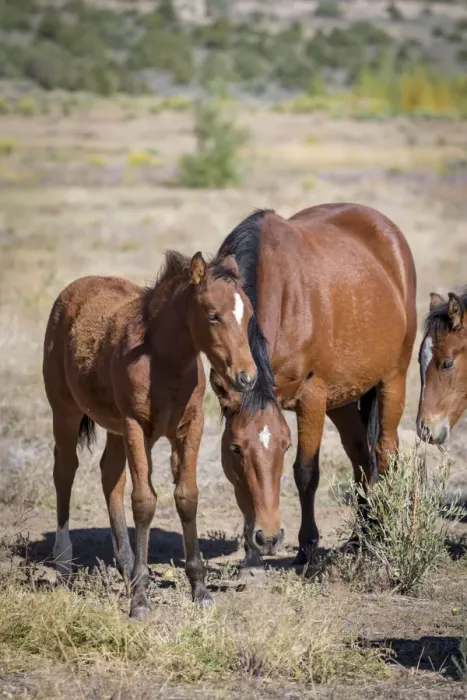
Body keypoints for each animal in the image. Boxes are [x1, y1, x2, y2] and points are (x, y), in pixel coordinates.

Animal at [43, 251, 257, 619]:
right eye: (212, 315)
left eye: (249, 314)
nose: (247, 376)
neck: (164, 361)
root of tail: (73, 289)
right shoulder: (135, 425)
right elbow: (144, 501)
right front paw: (141, 599)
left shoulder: (191, 426)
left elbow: (187, 497)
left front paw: (200, 589)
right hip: (65, 411)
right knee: (65, 471)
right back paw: (65, 561)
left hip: (114, 426)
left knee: (110, 475)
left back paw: (126, 565)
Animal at [210, 204, 417, 566]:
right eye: (235, 448)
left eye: (285, 445)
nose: (268, 538)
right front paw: (250, 556)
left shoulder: (311, 397)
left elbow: (306, 472)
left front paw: (306, 547)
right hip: (343, 398)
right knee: (360, 455)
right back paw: (360, 535)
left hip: (393, 379)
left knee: (385, 452)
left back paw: (380, 531)